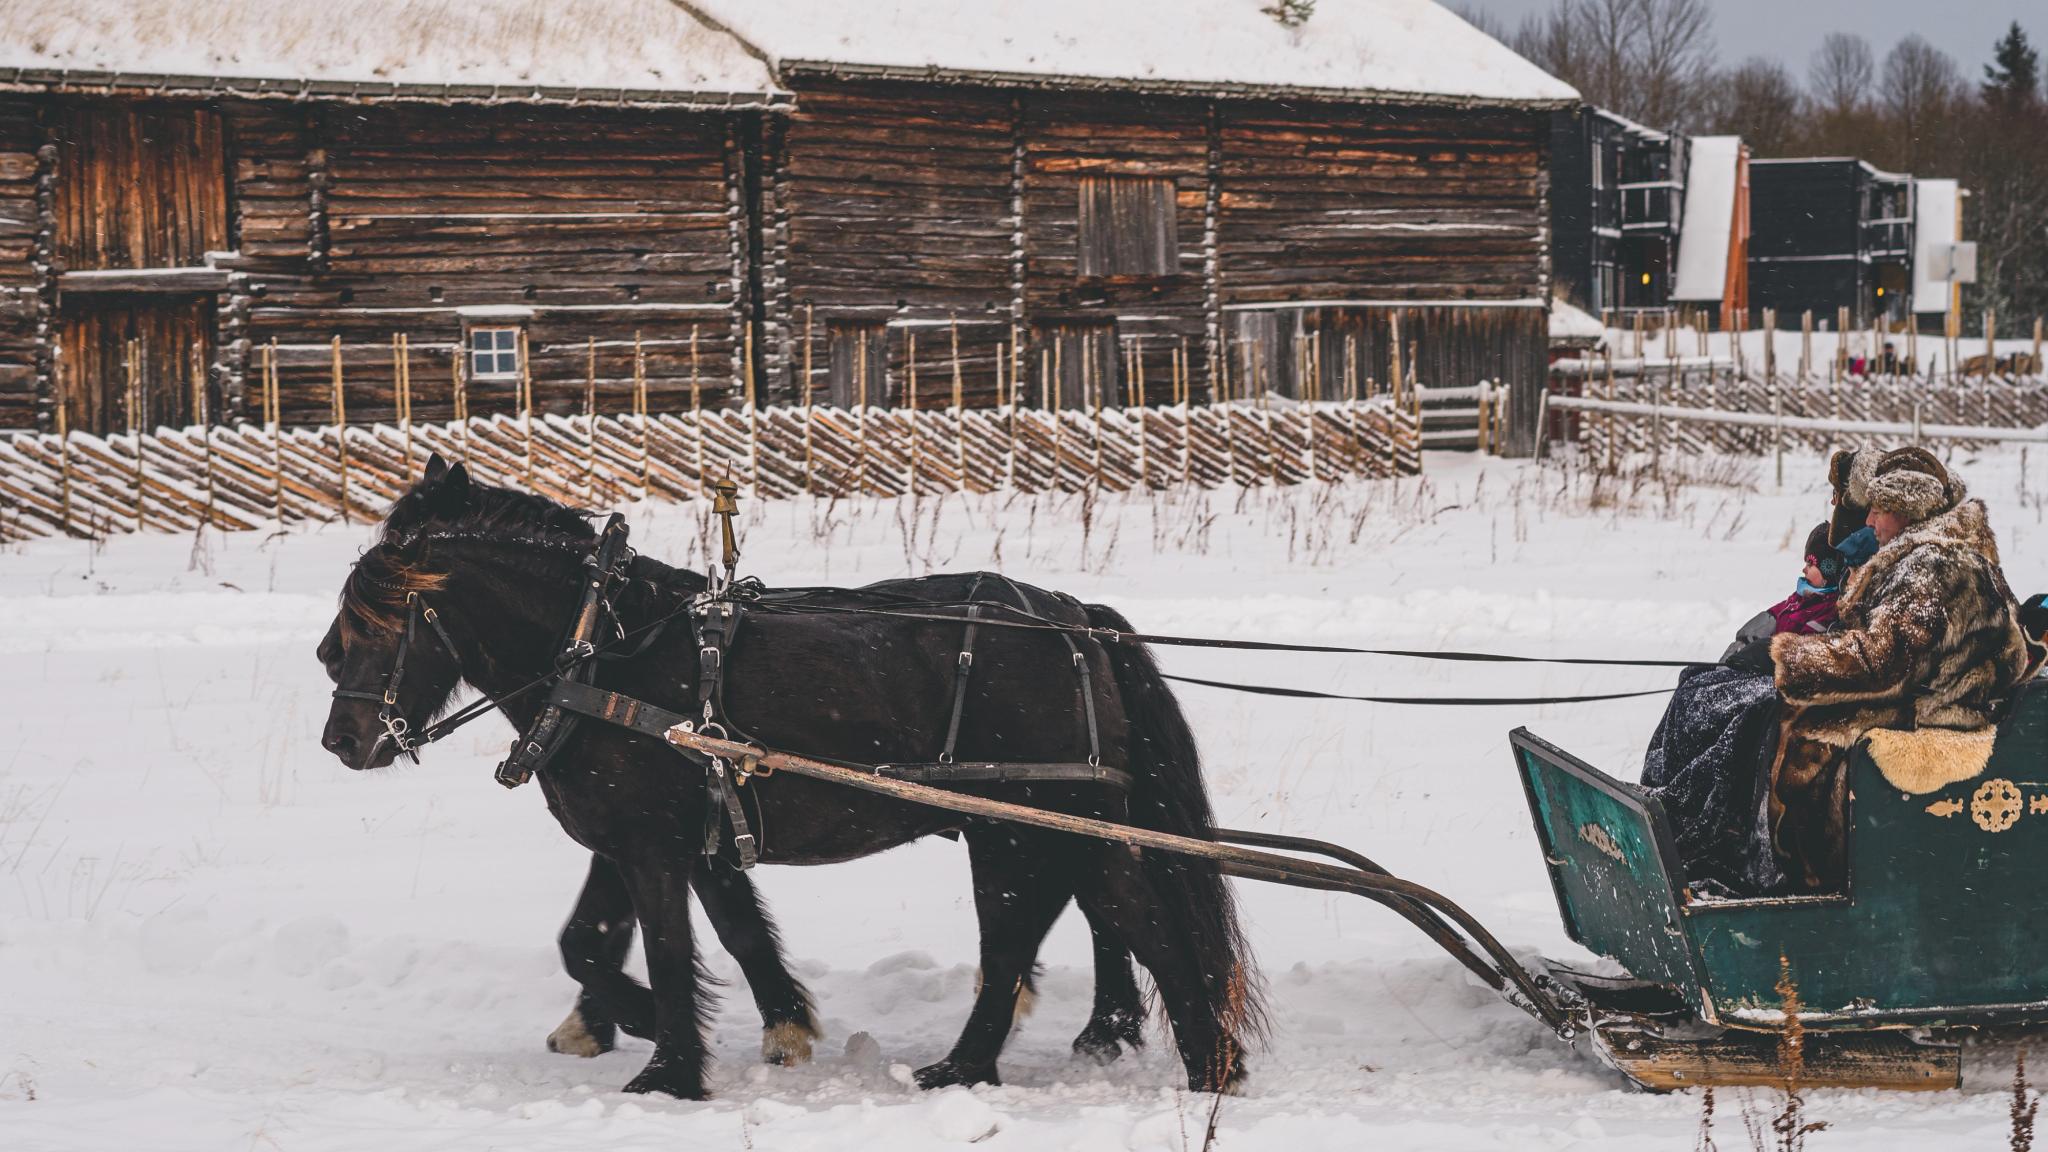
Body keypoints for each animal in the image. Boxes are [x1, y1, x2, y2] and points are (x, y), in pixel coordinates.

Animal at [318, 456, 1261, 1097]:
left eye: (380, 617)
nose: (341, 739)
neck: (602, 653)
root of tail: (1077, 622)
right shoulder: (678, 839)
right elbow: (689, 935)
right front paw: (776, 1027)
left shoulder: (648, 846)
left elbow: (660, 948)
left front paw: (665, 1063)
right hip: (1035, 830)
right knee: (1068, 929)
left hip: (1034, 825)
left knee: (1095, 930)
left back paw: (1169, 1065)